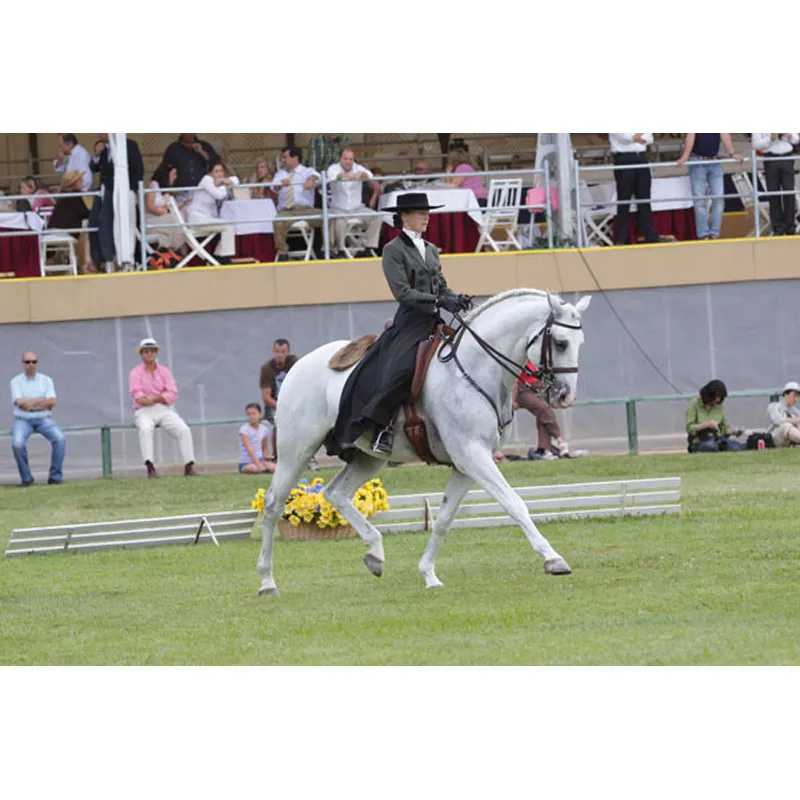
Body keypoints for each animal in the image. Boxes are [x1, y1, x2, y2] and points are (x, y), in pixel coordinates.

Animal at [256, 289, 591, 595]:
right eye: (560, 343)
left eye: (580, 343)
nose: (565, 396)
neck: (474, 369)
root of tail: (298, 365)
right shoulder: (473, 455)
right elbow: (514, 503)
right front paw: (553, 559)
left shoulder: (465, 464)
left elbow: (443, 519)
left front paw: (428, 574)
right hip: (297, 450)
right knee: (274, 504)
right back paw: (267, 581)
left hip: (368, 457)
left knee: (335, 493)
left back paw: (375, 554)